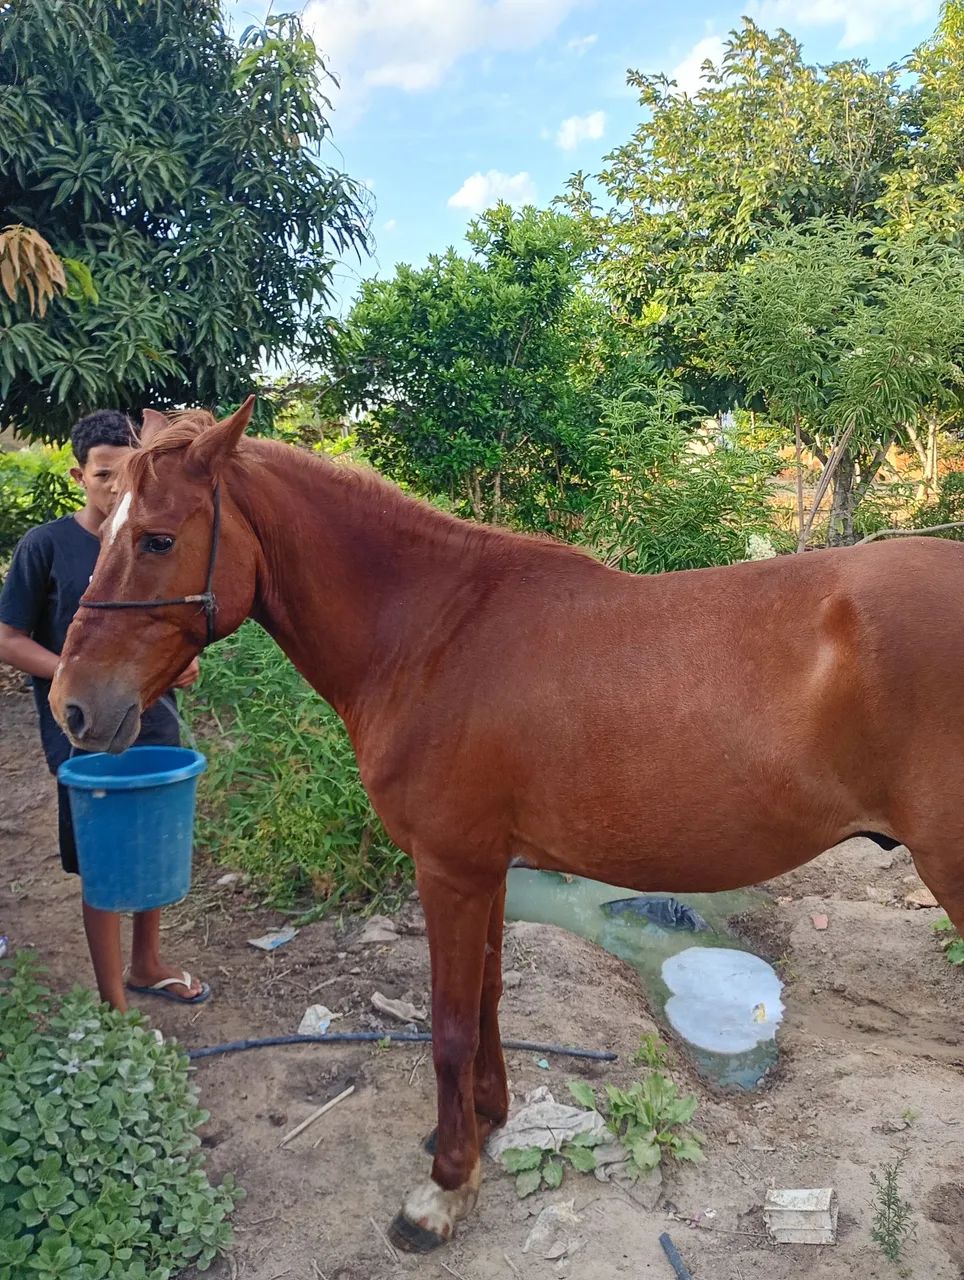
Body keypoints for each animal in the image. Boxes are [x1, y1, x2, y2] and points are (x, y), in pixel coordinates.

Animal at [51, 397, 964, 1251]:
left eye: (158, 539)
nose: (74, 706)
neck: (432, 635)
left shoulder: (448, 868)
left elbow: (450, 1026)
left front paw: (444, 1189)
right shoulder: (487, 868)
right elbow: (487, 999)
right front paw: (483, 1120)